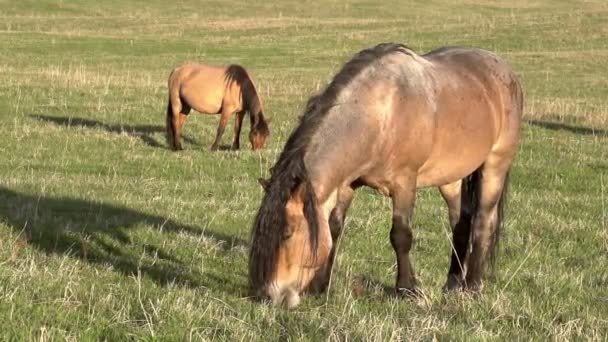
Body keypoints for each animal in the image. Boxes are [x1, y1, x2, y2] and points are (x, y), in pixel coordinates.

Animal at [247, 42, 524, 308]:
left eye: (287, 233)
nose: (270, 296)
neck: (383, 113)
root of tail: (504, 70)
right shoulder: (347, 184)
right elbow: (334, 229)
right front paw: (319, 286)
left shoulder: (405, 184)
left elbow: (400, 235)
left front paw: (407, 289)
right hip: (451, 177)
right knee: (460, 221)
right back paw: (453, 283)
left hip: (495, 165)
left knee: (483, 221)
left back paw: (472, 286)